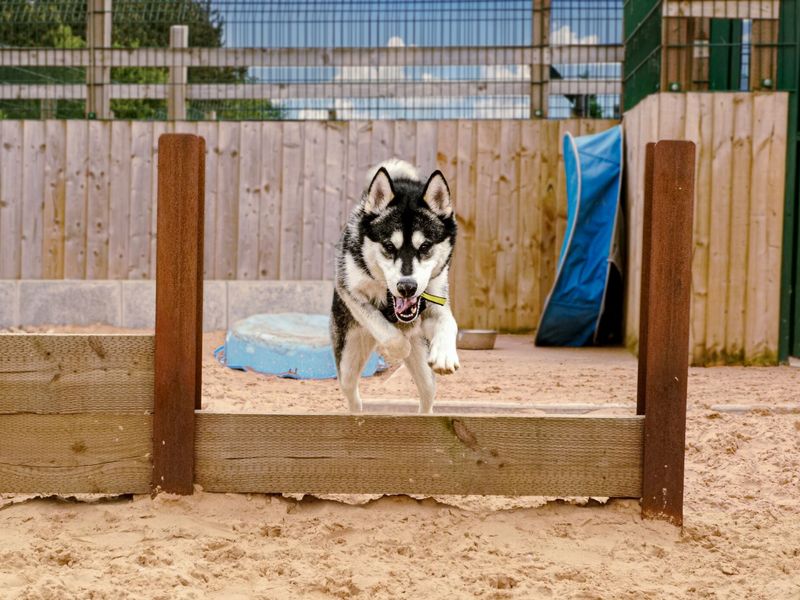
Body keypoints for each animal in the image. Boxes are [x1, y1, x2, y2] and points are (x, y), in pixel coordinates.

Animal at [330, 159, 456, 412]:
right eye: (389, 246)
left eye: (425, 246)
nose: (407, 286)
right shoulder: (350, 291)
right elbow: (387, 333)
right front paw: (397, 347)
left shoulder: (435, 301)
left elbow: (450, 323)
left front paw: (446, 353)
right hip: (348, 362)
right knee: (353, 396)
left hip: (425, 375)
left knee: (427, 399)